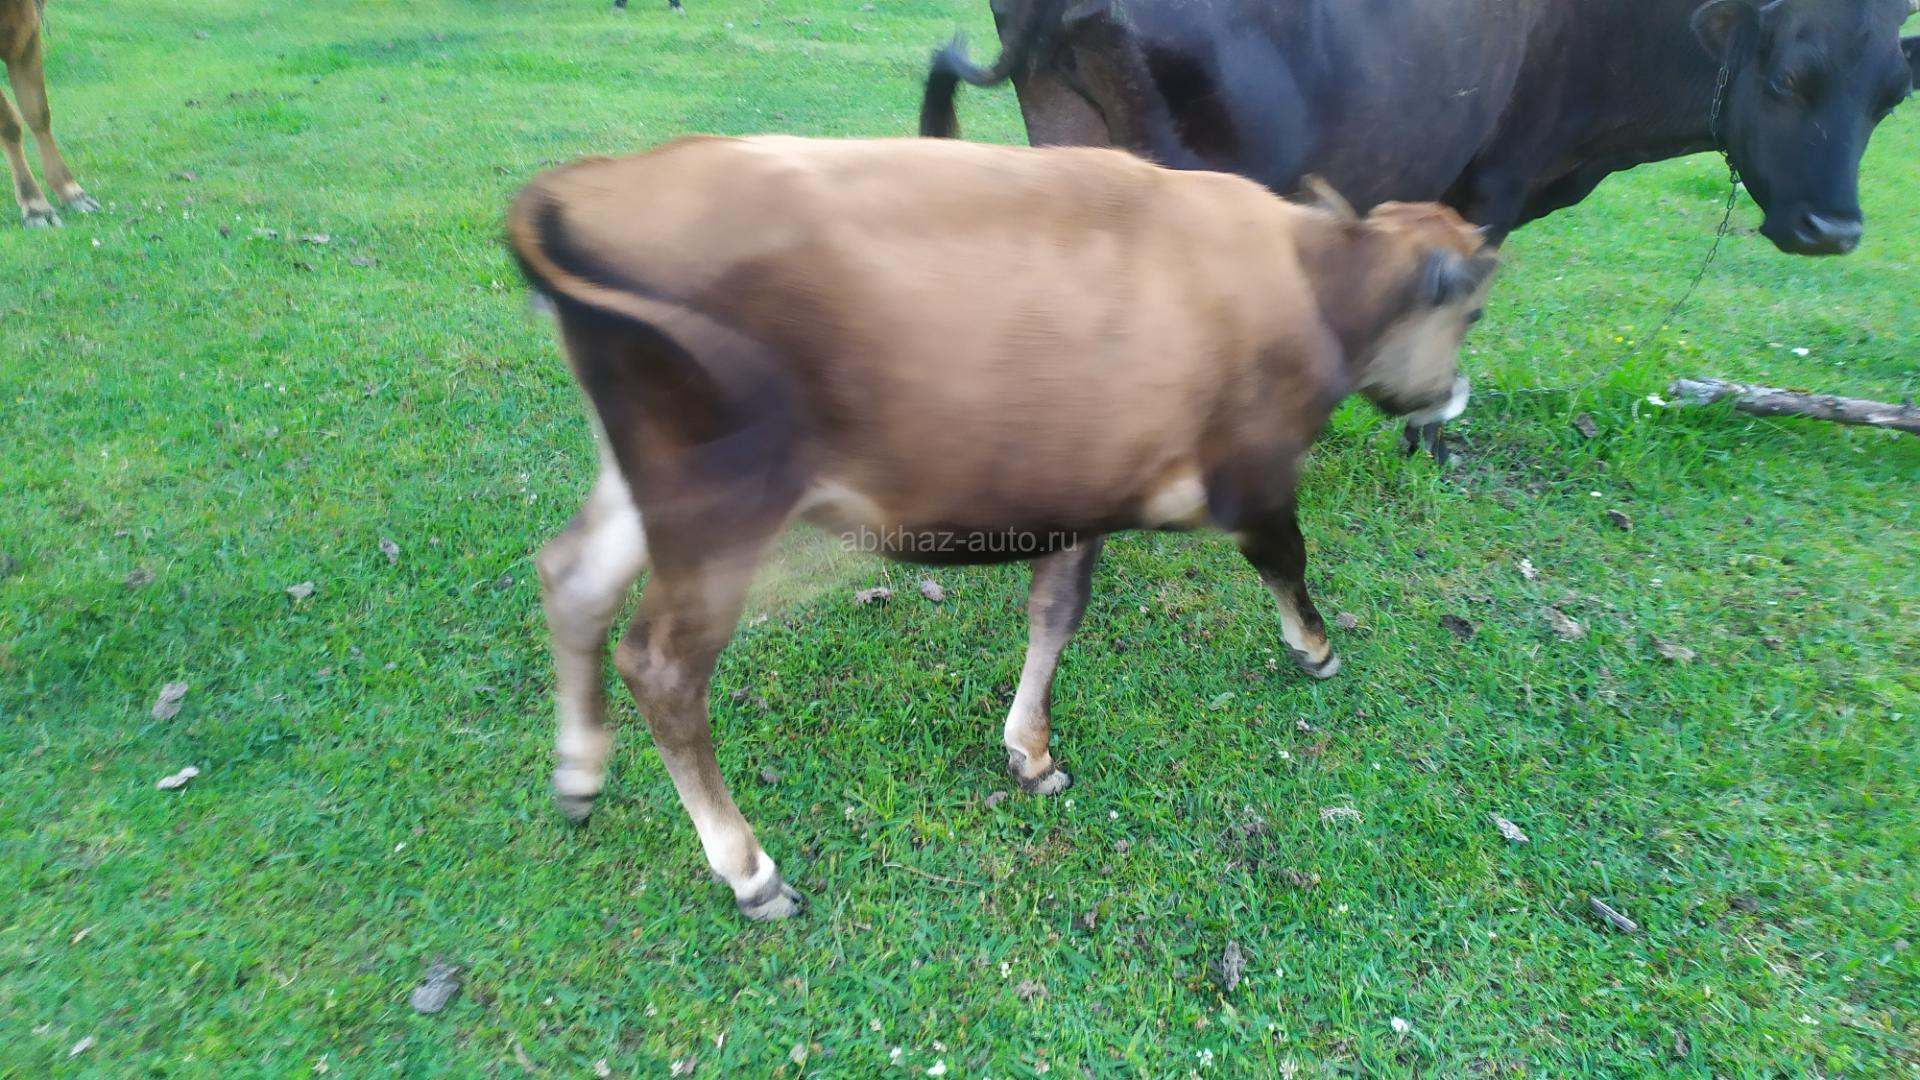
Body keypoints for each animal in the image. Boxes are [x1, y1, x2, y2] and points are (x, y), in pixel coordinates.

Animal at [508, 135, 1497, 918]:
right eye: (1474, 309)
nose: (1454, 394)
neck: (1309, 278)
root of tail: (588, 187)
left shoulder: (1079, 492)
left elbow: (1056, 613)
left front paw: (1030, 751)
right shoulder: (1252, 476)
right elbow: (1288, 558)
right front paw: (1316, 649)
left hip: (645, 484)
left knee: (573, 577)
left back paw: (578, 772)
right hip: (722, 499)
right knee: (663, 666)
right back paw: (749, 870)